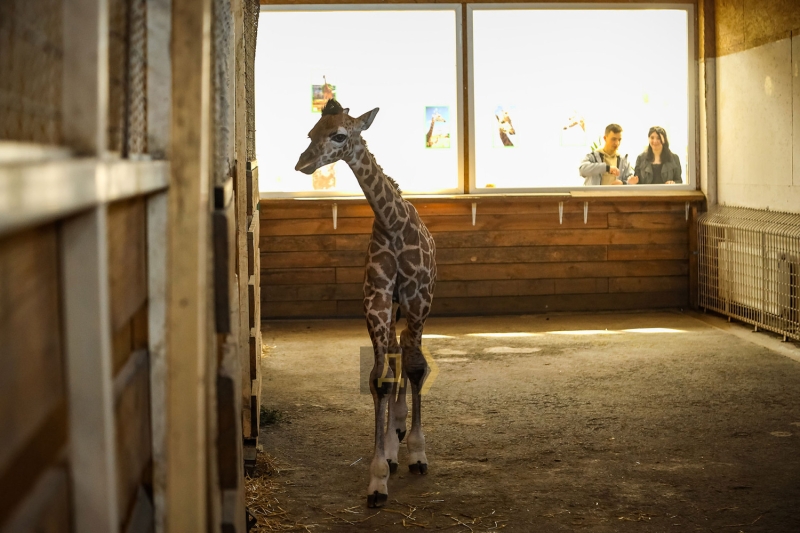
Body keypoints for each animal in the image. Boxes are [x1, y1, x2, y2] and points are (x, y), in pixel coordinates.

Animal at [296, 101, 438, 508]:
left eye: (339, 135)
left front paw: (418, 453)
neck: (393, 224)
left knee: (409, 356)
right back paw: (393, 440)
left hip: (413, 306)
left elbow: (417, 368)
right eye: (311, 132)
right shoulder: (376, 300)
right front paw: (378, 475)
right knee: (396, 352)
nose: (302, 163)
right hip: (392, 310)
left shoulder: (419, 298)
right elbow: (380, 378)